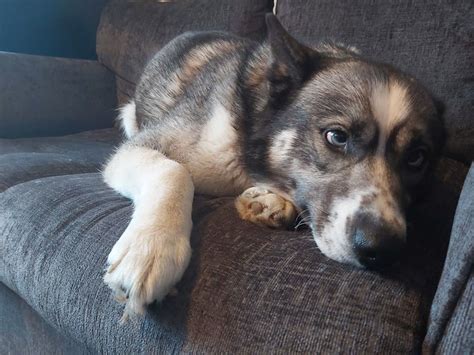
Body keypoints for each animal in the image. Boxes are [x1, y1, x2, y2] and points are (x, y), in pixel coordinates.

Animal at [102, 13, 446, 322]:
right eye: (337, 136)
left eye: (417, 157)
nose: (382, 249)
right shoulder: (142, 148)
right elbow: (174, 170)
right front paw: (151, 249)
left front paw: (272, 201)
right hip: (129, 113)